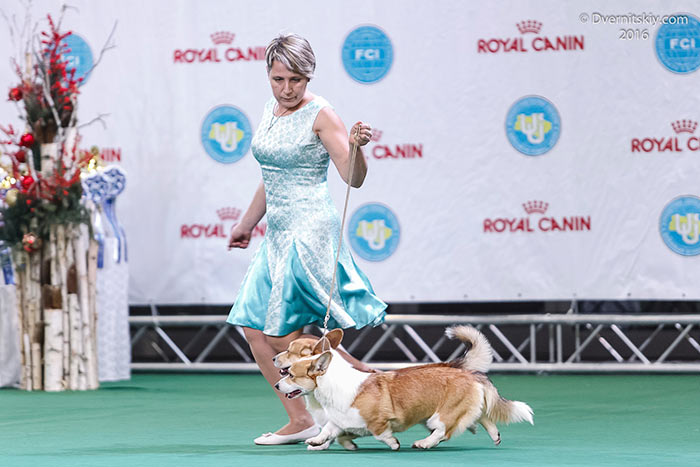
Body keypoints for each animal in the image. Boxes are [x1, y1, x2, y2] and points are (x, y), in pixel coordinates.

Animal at [275, 326, 534, 450]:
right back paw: (494, 435)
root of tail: (464, 371)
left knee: (443, 431)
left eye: (292, 374)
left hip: (439, 415)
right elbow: (331, 431)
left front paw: (393, 443)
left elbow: (379, 433)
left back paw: (424, 443)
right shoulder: (341, 419)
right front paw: (318, 442)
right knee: (481, 417)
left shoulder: (375, 420)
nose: (277, 385)